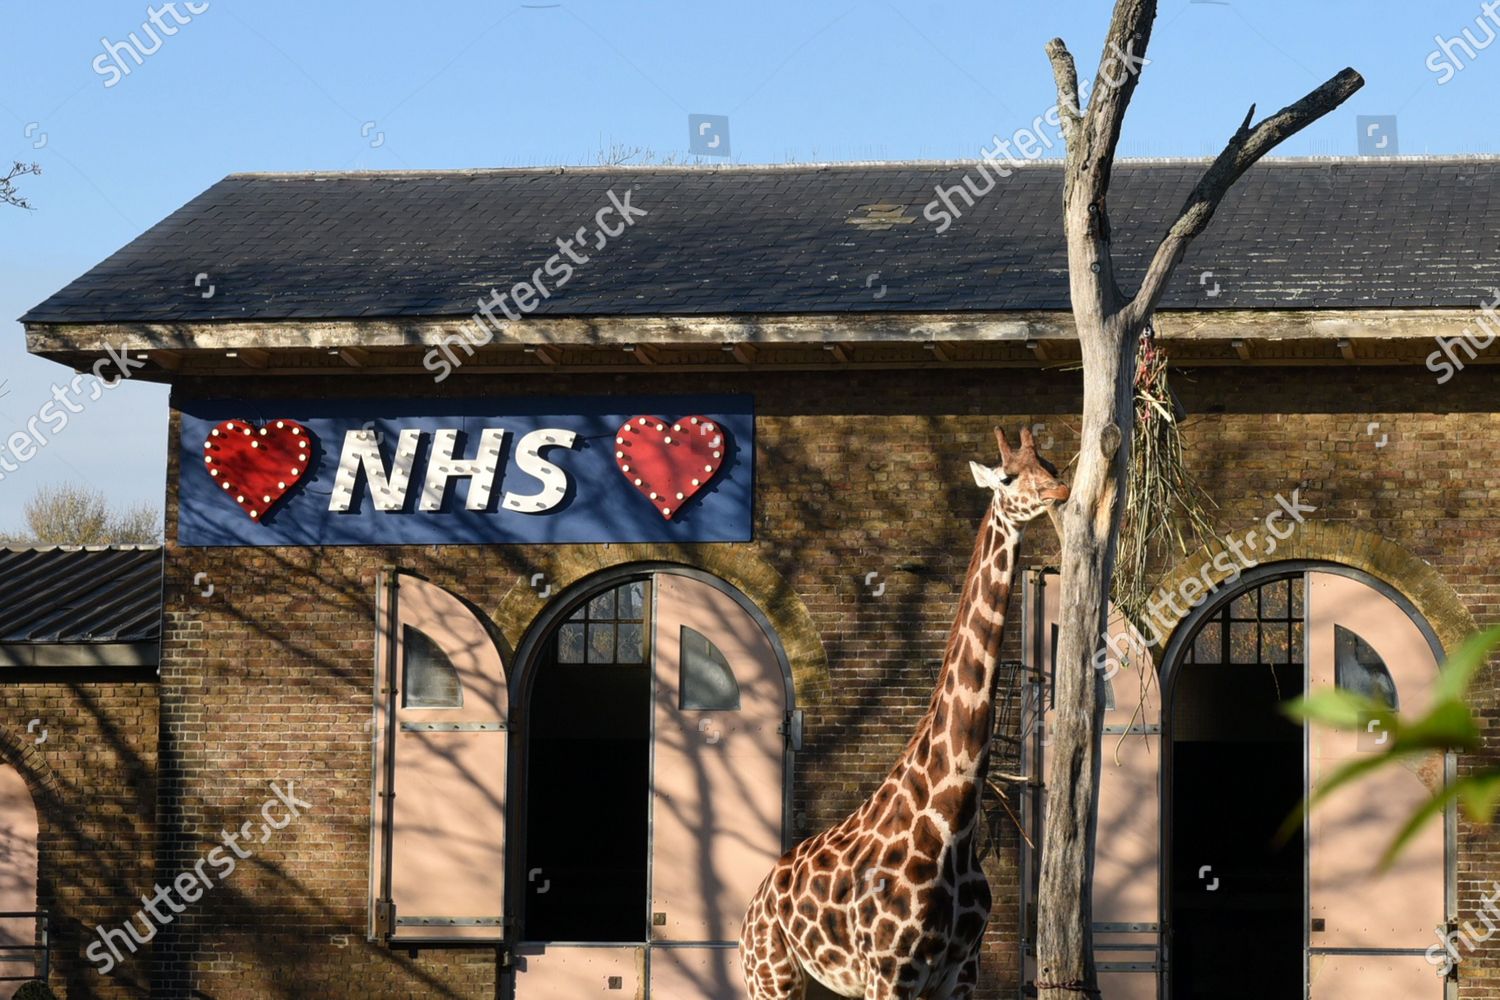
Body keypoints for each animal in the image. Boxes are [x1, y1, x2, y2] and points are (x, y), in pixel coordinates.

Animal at [739, 426, 1070, 1000]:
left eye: (1048, 465)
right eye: (1008, 477)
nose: (1061, 492)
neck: (952, 824)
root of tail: (754, 903)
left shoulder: (961, 974)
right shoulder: (891, 974)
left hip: (823, 986)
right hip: (771, 977)